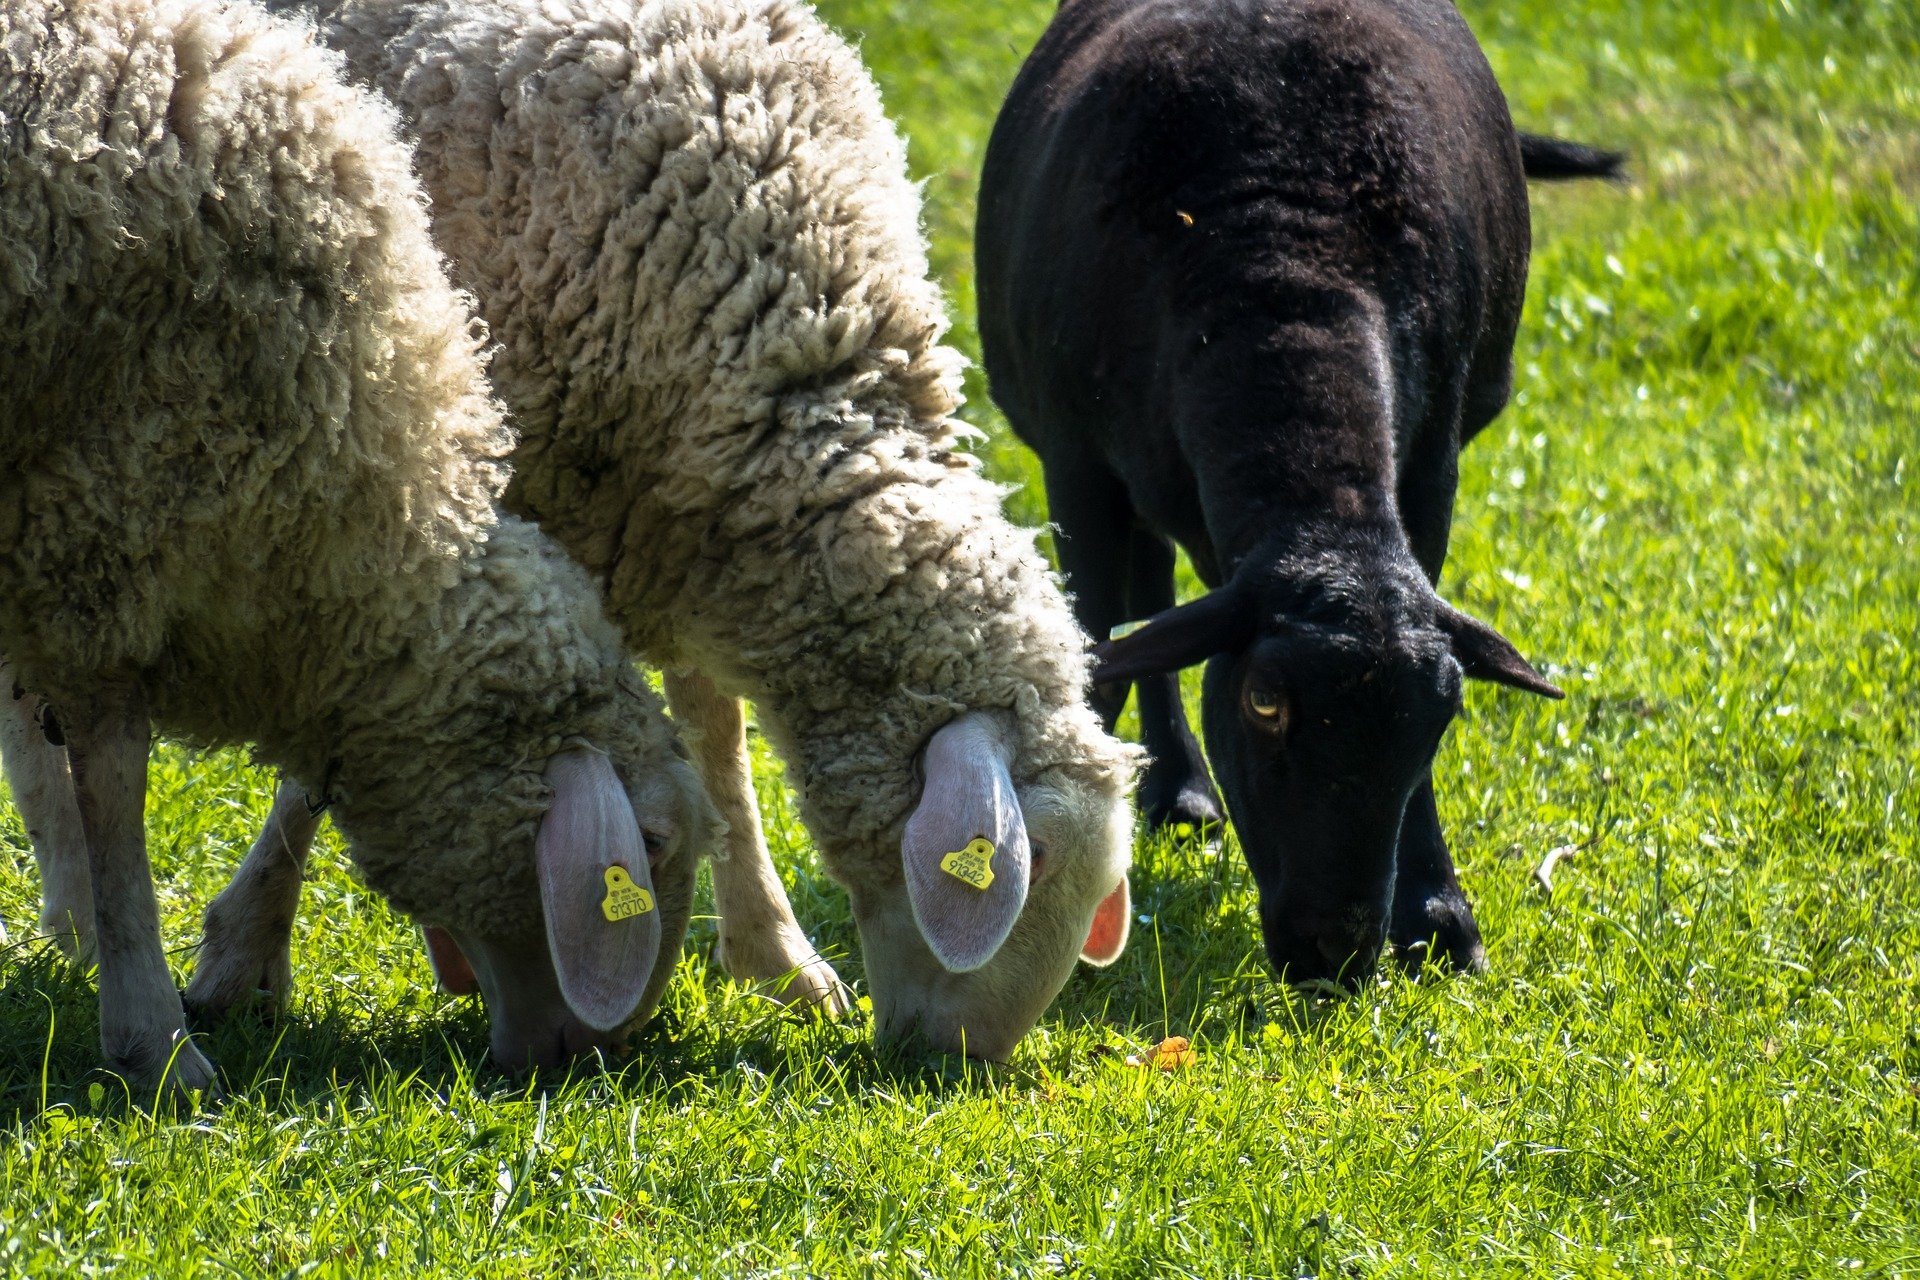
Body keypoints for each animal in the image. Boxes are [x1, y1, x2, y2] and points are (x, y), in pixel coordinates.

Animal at [196, 0, 1144, 1059]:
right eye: (1030, 856)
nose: (957, 1059)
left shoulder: (679, 521)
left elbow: (716, 737)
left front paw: (776, 955)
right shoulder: (411, 495)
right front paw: (242, 954)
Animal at [975, 0, 1605, 990]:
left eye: (1441, 716)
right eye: (1263, 704)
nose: (1334, 953)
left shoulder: (1430, 469)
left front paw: (1437, 914)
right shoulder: (1076, 464)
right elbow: (1096, 657)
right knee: (1149, 600)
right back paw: (1177, 788)